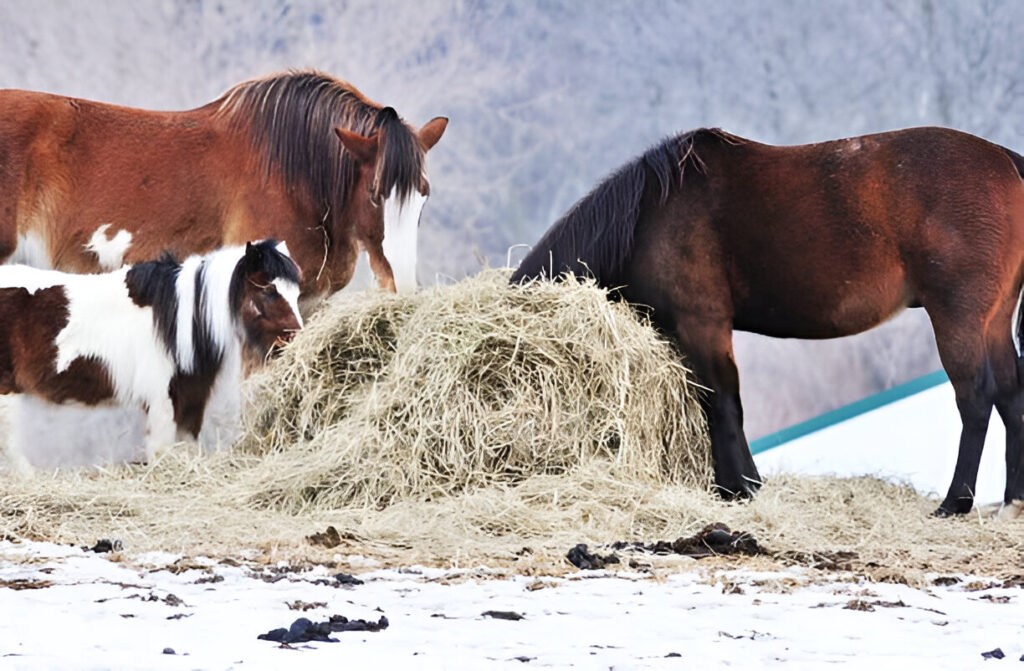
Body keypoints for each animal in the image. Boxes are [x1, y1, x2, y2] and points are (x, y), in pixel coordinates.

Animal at [0, 236, 303, 463]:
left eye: (296, 293)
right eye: (268, 291)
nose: (295, 340)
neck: (179, 318)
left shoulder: (192, 400)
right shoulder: (162, 402)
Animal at [512, 126, 1024, 516]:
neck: (650, 218)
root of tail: (1006, 160)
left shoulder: (703, 325)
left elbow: (723, 405)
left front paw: (740, 488)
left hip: (958, 317)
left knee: (976, 399)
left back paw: (955, 503)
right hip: (995, 321)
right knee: (1010, 395)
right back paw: (1012, 500)